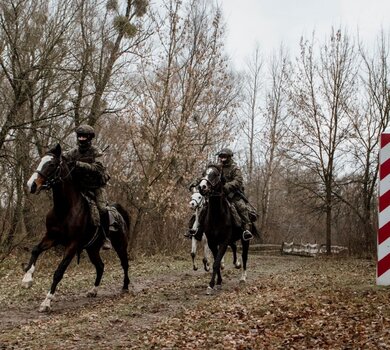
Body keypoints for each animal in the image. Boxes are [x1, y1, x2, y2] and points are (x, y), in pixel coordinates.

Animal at [23, 144, 131, 314]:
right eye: (41, 161)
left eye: (51, 164)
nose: (31, 185)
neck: (64, 209)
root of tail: (117, 211)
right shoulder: (51, 237)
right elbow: (35, 250)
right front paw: (27, 279)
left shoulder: (72, 245)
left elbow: (59, 272)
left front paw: (47, 302)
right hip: (92, 249)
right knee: (100, 266)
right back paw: (93, 290)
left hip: (120, 245)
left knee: (125, 264)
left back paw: (125, 287)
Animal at [198, 163, 256, 292]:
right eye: (204, 173)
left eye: (215, 174)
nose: (202, 187)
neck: (217, 215)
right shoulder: (212, 242)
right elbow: (217, 262)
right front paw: (218, 282)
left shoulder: (224, 241)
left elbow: (216, 262)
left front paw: (211, 285)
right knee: (234, 247)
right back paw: (236, 263)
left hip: (245, 240)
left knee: (244, 256)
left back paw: (243, 277)